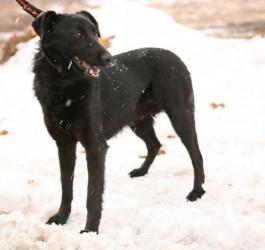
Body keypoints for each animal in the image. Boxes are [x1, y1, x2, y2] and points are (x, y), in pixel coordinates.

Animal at [31, 9, 204, 232]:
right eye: (77, 34)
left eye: (95, 33)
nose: (108, 59)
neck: (64, 83)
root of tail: (175, 56)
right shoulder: (64, 144)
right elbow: (66, 186)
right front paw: (61, 218)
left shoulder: (95, 146)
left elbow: (93, 194)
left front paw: (90, 231)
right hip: (138, 121)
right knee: (154, 144)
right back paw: (142, 171)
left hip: (181, 116)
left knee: (196, 155)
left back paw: (197, 191)